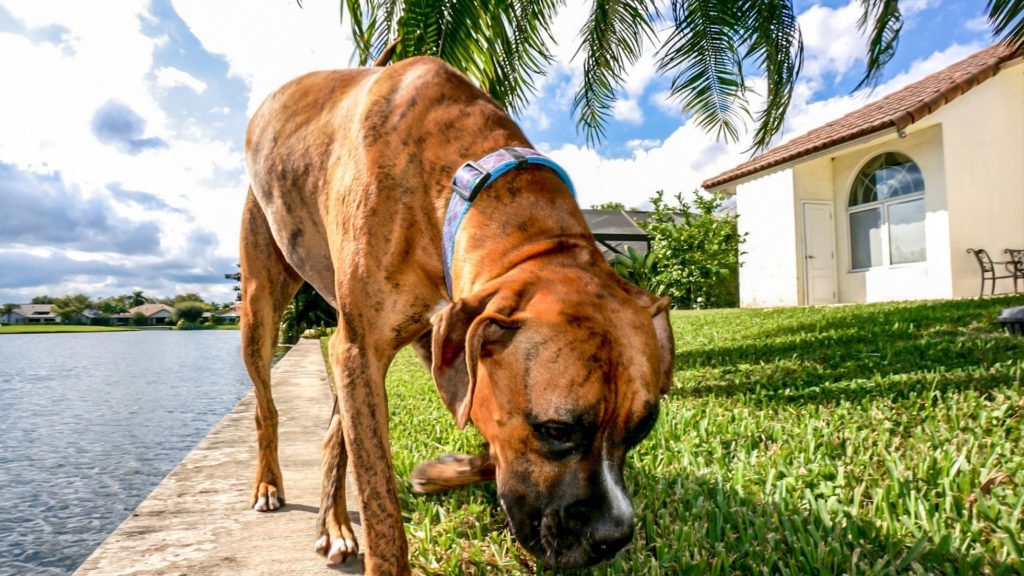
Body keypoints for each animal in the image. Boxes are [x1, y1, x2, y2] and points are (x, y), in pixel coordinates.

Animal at [237, 51, 671, 569]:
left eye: (645, 426)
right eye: (556, 430)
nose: (614, 537)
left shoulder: (446, 343)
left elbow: (486, 448)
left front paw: (440, 472)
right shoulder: (364, 349)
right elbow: (380, 502)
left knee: (336, 432)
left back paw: (336, 523)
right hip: (261, 309)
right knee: (266, 408)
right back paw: (269, 484)